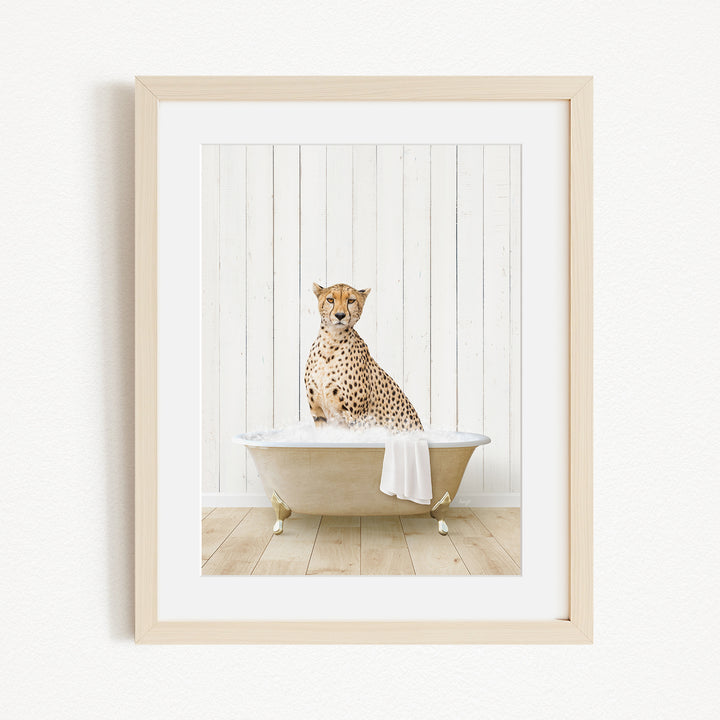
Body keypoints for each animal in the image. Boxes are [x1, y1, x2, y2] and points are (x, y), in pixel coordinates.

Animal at [304, 282, 424, 432]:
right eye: (330, 300)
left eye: (351, 301)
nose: (340, 315)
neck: (331, 342)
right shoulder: (318, 413)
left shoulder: (357, 417)